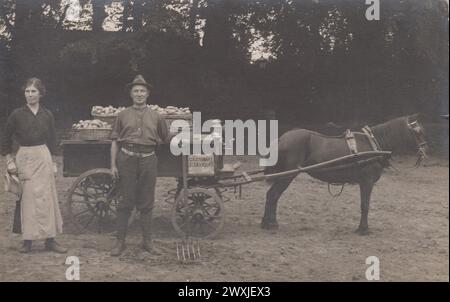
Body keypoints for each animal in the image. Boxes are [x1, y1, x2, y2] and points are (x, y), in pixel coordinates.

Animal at [260, 114, 428, 235]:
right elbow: (365, 205)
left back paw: (265, 222)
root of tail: (282, 138)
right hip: (287, 175)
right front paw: (363, 229)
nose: (425, 150)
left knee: (271, 195)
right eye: (418, 133)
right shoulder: (366, 182)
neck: (373, 144)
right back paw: (271, 223)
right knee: (273, 195)